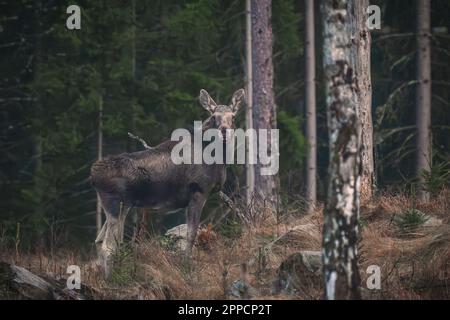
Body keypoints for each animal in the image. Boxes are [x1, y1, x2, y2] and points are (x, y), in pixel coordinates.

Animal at [92, 88, 246, 276]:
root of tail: (94, 175)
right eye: (214, 115)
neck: (219, 159)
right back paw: (112, 278)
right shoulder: (198, 191)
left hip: (113, 207)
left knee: (99, 241)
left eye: (233, 116)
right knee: (108, 247)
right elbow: (191, 235)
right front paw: (187, 267)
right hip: (118, 204)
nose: (224, 130)